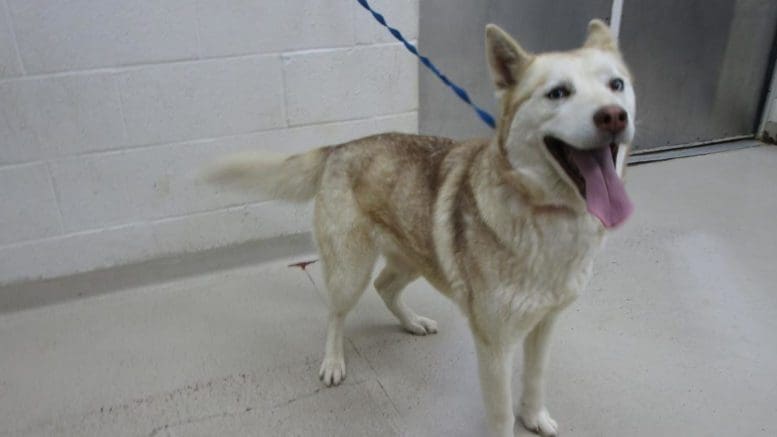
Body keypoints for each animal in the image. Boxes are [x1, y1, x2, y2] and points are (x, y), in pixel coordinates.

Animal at [209, 18, 632, 434]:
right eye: (558, 93)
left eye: (617, 85)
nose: (614, 115)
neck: (547, 213)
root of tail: (339, 147)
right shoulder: (495, 346)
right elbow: (499, 414)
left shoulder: (544, 326)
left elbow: (535, 379)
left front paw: (534, 417)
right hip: (351, 272)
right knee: (335, 314)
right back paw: (333, 362)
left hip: (417, 258)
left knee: (384, 287)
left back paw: (412, 323)